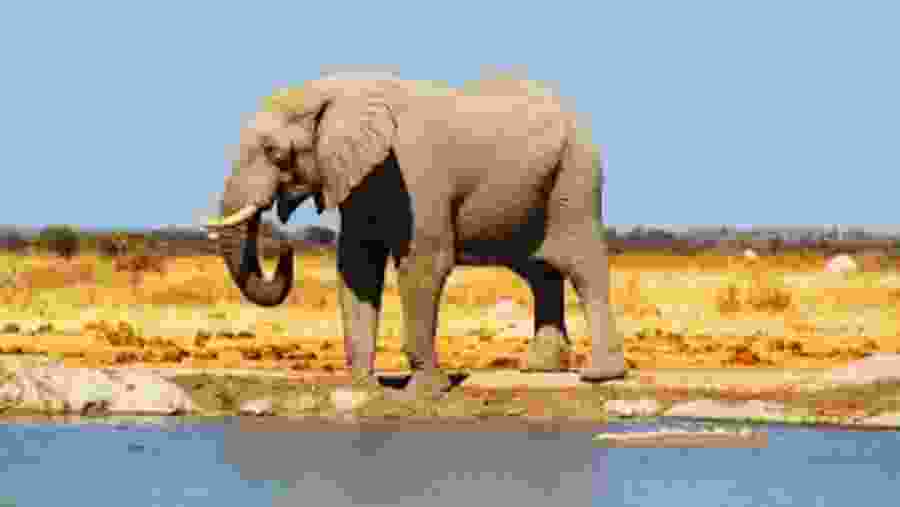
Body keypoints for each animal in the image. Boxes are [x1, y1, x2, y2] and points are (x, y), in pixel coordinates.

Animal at [204, 76, 627, 399]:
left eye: (276, 153)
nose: (284, 245)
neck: (338, 91)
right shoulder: (359, 176)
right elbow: (357, 265)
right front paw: (363, 387)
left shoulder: (415, 175)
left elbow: (423, 264)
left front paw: (426, 391)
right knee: (538, 270)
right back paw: (539, 369)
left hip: (575, 177)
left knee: (583, 266)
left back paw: (599, 375)